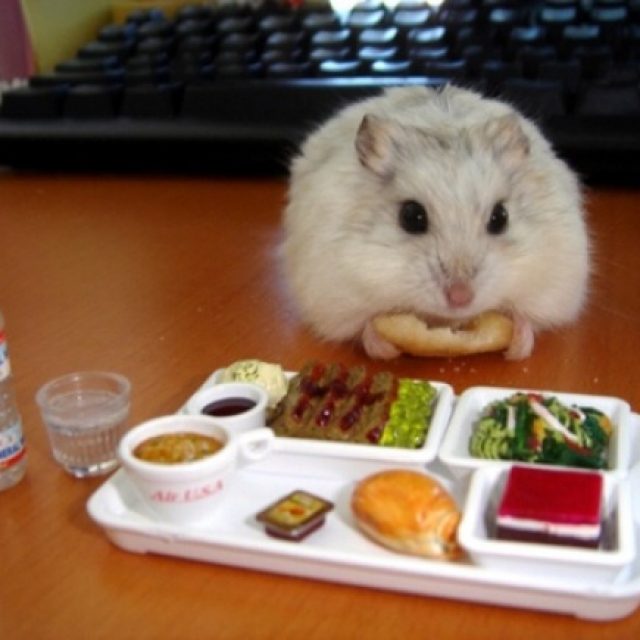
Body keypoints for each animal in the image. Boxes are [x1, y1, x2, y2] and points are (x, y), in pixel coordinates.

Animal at [281, 84, 590, 360]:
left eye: (500, 217)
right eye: (411, 217)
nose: (460, 298)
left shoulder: (553, 285)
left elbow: (528, 319)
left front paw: (518, 345)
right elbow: (365, 326)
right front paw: (384, 345)